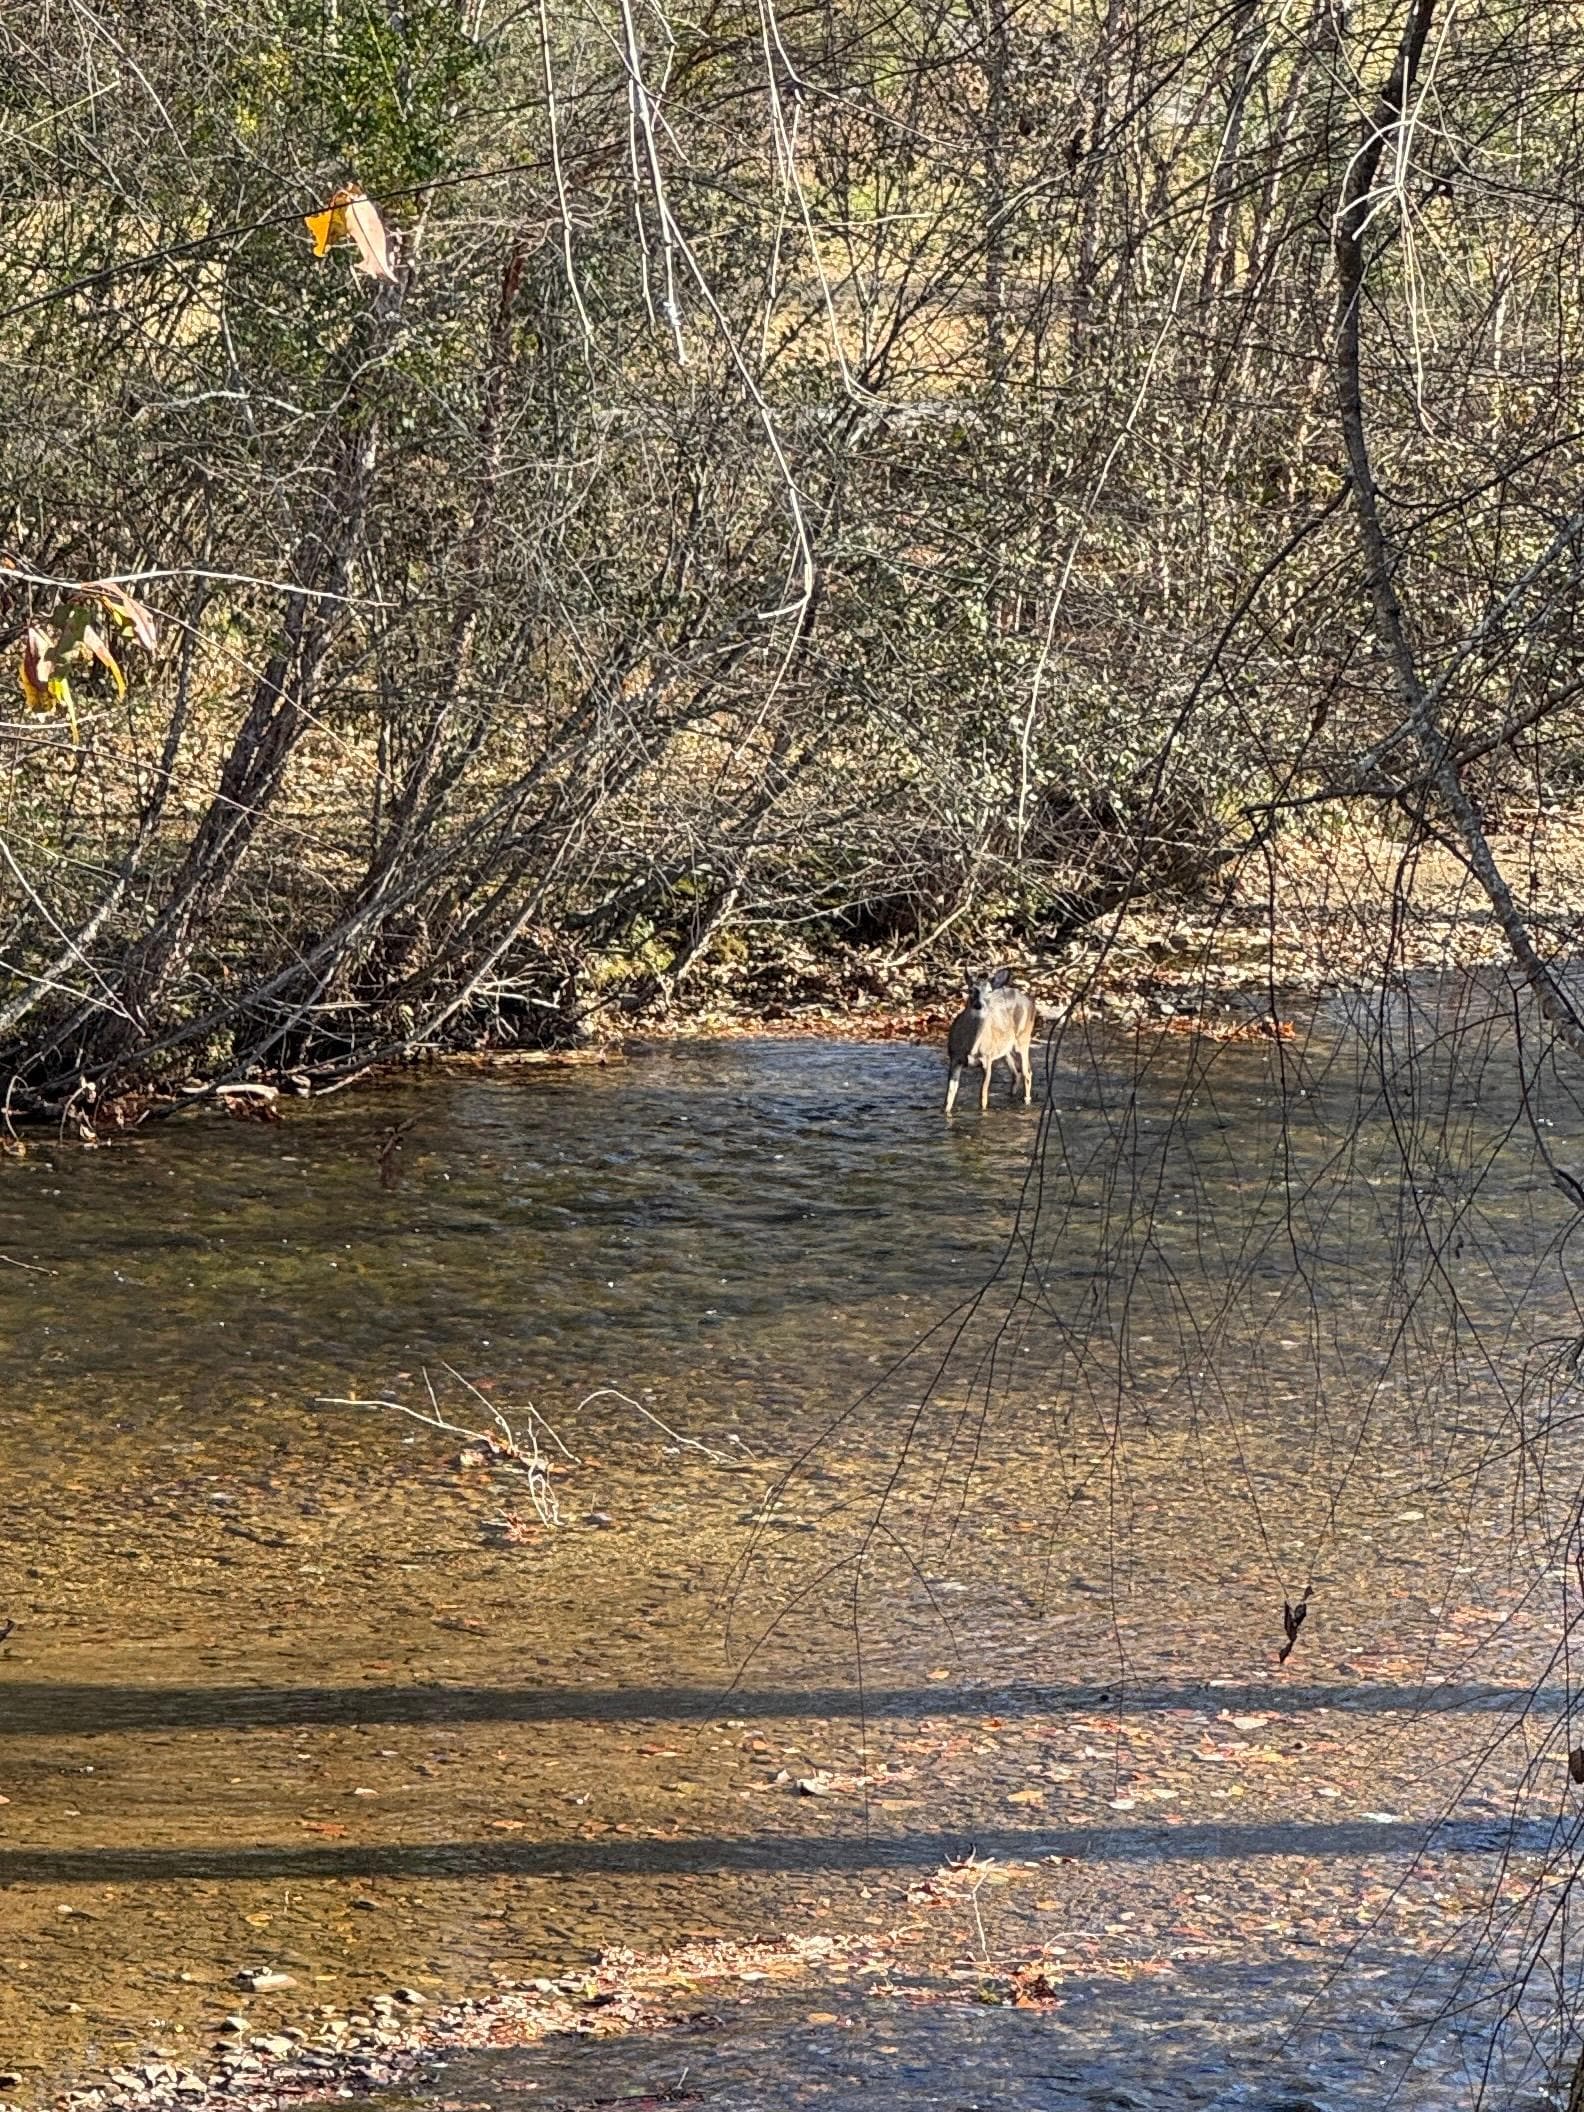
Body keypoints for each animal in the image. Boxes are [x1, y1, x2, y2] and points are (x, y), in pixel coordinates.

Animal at [944, 967, 1037, 1115]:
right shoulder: (954, 1058)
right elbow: (949, 1096)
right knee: (1016, 1072)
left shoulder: (987, 1059)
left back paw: (1026, 1102)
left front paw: (983, 1113)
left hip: (1023, 1038)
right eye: (971, 990)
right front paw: (946, 1113)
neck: (970, 1048)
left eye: (989, 991)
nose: (979, 1005)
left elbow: (983, 1096)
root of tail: (1030, 1001)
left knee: (1027, 1072)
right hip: (1004, 1048)